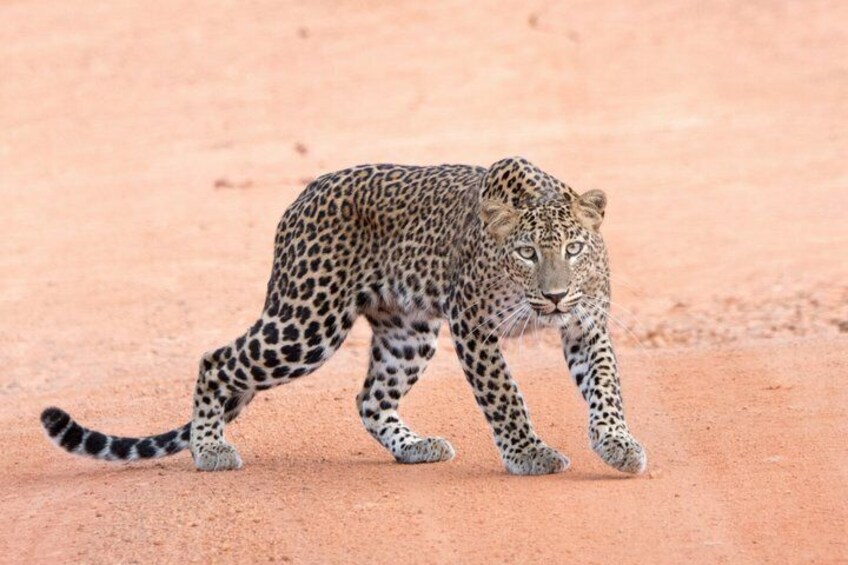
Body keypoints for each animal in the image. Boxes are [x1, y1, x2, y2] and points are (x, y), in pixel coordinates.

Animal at [41, 156, 647, 476]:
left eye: (573, 249)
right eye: (526, 253)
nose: (554, 296)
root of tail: (301, 196)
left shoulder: (586, 325)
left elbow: (606, 388)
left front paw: (617, 444)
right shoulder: (474, 326)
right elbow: (505, 397)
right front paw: (529, 453)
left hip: (407, 333)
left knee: (370, 399)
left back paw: (414, 447)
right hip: (306, 323)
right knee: (216, 360)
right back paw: (210, 448)